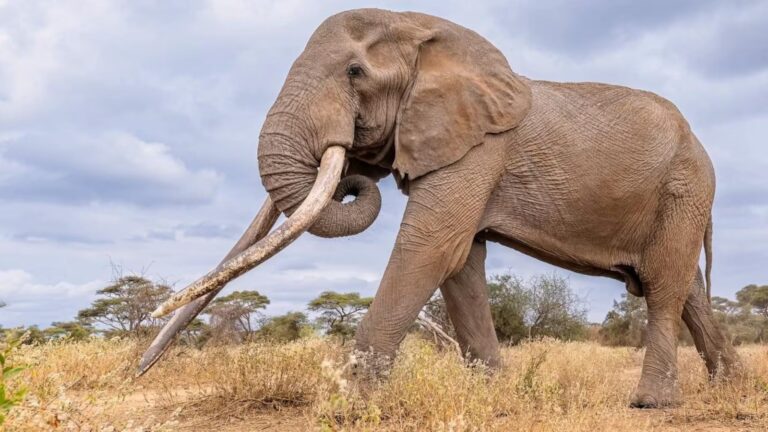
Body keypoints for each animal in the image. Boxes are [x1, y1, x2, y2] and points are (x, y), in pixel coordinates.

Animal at [139, 8, 740, 408]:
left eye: (354, 73)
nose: (137, 370)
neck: (424, 32)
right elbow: (461, 264)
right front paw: (495, 395)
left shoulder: (478, 148)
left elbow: (430, 248)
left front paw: (350, 403)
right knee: (685, 287)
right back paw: (731, 384)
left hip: (685, 187)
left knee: (662, 284)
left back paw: (653, 403)